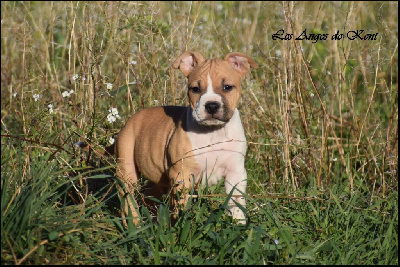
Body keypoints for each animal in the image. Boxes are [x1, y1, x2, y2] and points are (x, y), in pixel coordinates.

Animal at [114, 51, 258, 225]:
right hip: (126, 167)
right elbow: (181, 204)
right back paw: (134, 223)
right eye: (195, 89)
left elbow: (236, 201)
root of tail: (132, 119)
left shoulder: (235, 173)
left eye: (227, 87)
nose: (211, 106)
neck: (213, 132)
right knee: (127, 198)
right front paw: (182, 224)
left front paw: (239, 224)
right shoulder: (181, 175)